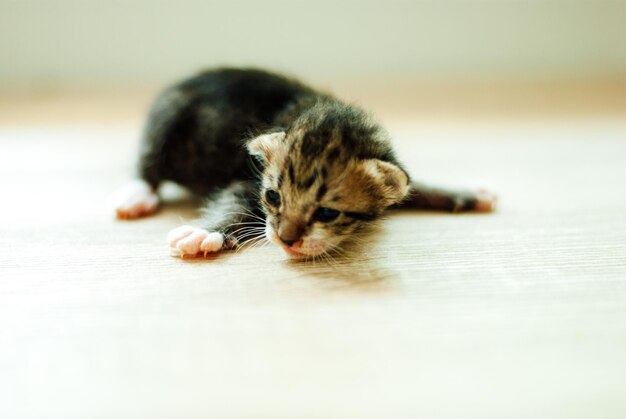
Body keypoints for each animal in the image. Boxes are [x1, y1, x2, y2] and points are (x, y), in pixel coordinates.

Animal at [111, 68, 492, 260]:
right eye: (273, 197)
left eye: (327, 213)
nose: (286, 239)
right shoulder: (247, 177)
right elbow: (234, 201)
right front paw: (205, 231)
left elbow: (415, 185)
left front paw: (465, 193)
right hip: (168, 113)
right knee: (149, 161)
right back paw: (136, 194)